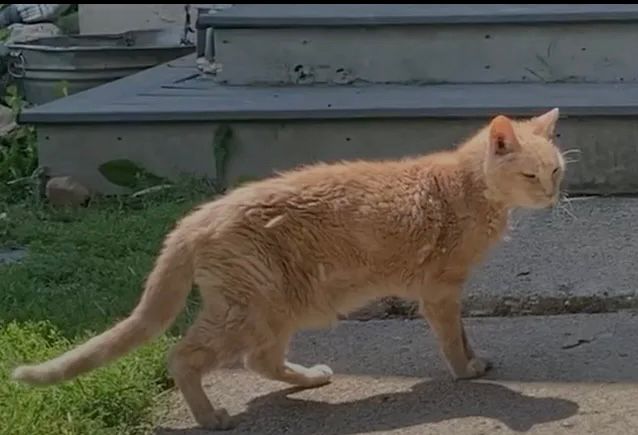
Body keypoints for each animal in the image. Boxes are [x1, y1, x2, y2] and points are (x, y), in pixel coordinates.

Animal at [12, 108, 565, 430]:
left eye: (557, 170)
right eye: (530, 174)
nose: (553, 195)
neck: (468, 187)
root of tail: (195, 217)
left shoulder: (448, 292)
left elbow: (465, 333)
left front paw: (474, 359)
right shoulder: (440, 290)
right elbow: (452, 338)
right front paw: (465, 371)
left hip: (278, 309)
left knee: (259, 360)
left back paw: (307, 377)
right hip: (248, 311)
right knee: (182, 356)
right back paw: (210, 416)